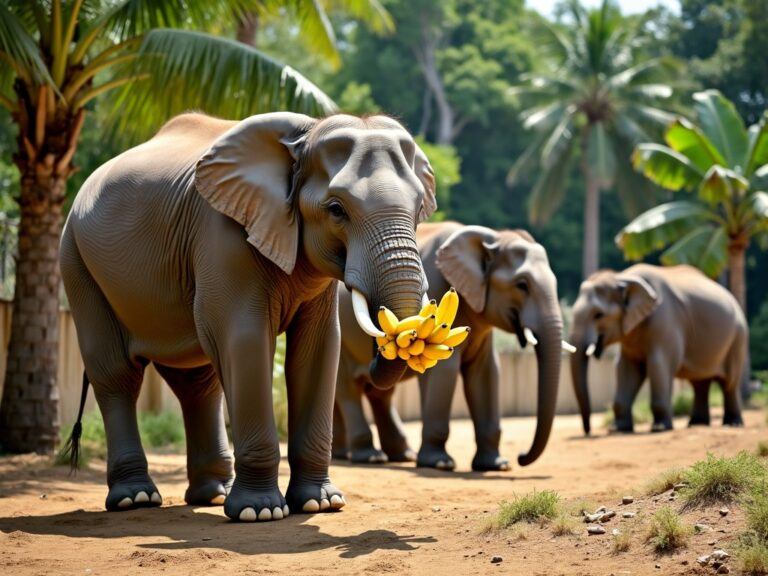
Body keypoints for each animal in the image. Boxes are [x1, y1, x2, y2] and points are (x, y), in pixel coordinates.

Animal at [58, 111, 432, 520]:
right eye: (337, 210)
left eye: (419, 210)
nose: (393, 341)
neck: (306, 135)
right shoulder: (221, 233)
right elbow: (246, 338)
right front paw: (260, 512)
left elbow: (318, 348)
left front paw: (320, 504)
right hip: (77, 262)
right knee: (116, 374)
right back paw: (136, 498)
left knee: (197, 382)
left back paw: (211, 494)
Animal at [332, 223, 568, 470]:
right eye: (522, 285)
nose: (521, 457)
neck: (492, 237)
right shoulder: (437, 285)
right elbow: (444, 370)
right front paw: (440, 464)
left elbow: (485, 372)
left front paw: (496, 465)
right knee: (348, 389)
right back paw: (369, 457)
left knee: (379, 394)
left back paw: (395, 456)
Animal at [572, 264, 748, 434]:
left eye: (598, 315)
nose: (588, 432)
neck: (623, 277)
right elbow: (625, 367)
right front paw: (618, 429)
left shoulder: (665, 321)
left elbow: (658, 364)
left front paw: (660, 428)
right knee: (699, 383)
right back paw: (696, 424)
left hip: (738, 337)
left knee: (730, 382)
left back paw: (733, 424)